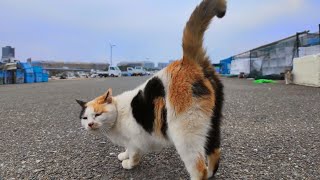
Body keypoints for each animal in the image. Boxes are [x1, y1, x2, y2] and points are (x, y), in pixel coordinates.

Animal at [76, 0, 226, 179]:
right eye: (85, 118)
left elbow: (134, 154)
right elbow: (127, 149)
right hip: (212, 125)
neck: (117, 116)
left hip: (185, 133)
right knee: (215, 153)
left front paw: (129, 163)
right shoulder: (129, 140)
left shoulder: (135, 140)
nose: (90, 124)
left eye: (98, 114)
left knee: (198, 168)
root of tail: (187, 61)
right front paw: (124, 155)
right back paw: (211, 172)